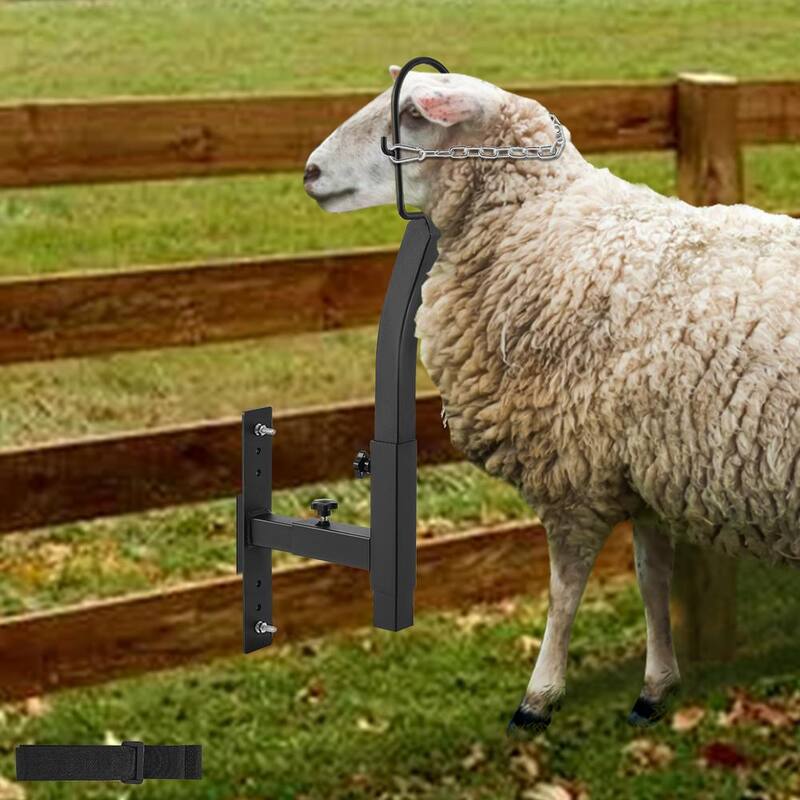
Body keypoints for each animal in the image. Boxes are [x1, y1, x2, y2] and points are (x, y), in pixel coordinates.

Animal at [303, 65, 800, 737]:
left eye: (410, 114)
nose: (311, 171)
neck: (542, 226)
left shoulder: (573, 472)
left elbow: (564, 591)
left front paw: (538, 697)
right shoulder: (638, 468)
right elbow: (652, 580)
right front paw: (656, 686)